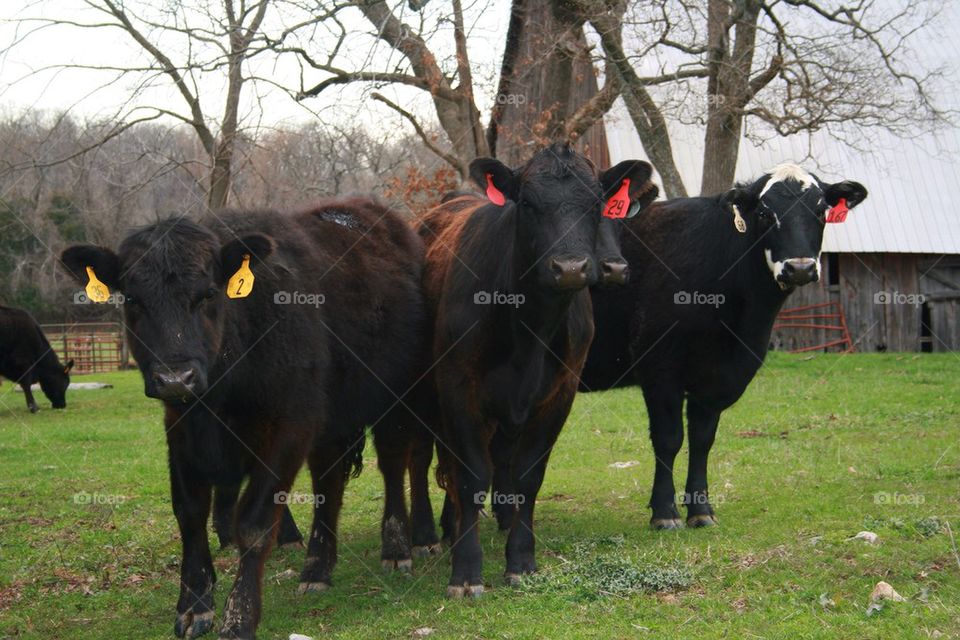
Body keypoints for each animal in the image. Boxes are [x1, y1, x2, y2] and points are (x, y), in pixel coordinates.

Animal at [62, 196, 430, 640]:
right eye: (132, 300)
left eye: (207, 295)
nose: (175, 378)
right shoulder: (180, 427)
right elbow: (189, 512)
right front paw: (194, 605)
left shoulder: (290, 426)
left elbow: (254, 523)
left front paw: (239, 616)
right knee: (329, 480)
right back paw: (317, 568)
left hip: (398, 399)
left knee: (393, 465)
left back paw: (396, 547)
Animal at [388, 142, 652, 596]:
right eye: (526, 203)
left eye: (597, 204)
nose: (570, 267)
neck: (529, 326)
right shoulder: (459, 387)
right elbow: (471, 475)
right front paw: (466, 571)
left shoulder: (559, 393)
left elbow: (527, 475)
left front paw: (521, 560)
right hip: (420, 393)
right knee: (420, 457)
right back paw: (424, 535)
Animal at [576, 164, 872, 528]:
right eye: (764, 213)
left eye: (820, 212)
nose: (800, 268)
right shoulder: (660, 367)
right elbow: (668, 438)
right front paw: (665, 513)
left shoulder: (722, 374)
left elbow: (702, 440)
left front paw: (701, 510)